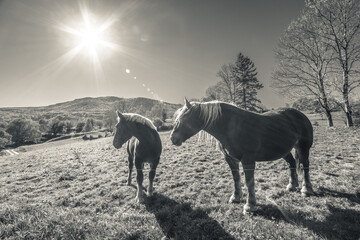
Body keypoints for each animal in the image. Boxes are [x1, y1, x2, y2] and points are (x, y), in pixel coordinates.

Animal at [170, 98, 314, 215]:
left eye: (184, 119)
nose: (173, 139)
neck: (232, 128)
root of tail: (300, 115)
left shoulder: (248, 160)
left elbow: (249, 182)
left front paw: (250, 206)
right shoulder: (230, 159)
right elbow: (236, 178)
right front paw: (236, 197)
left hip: (303, 148)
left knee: (305, 166)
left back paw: (306, 190)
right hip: (283, 150)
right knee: (291, 163)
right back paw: (292, 186)